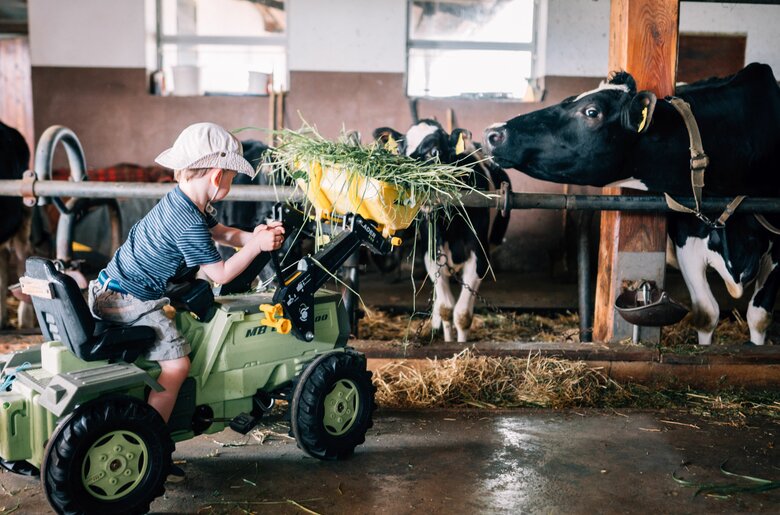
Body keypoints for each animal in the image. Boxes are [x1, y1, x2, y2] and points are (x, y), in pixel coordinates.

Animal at [374, 118, 508, 340]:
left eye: (435, 151)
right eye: (400, 150)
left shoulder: (479, 258)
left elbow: (462, 314)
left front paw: (460, 343)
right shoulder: (432, 254)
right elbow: (446, 308)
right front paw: (447, 338)